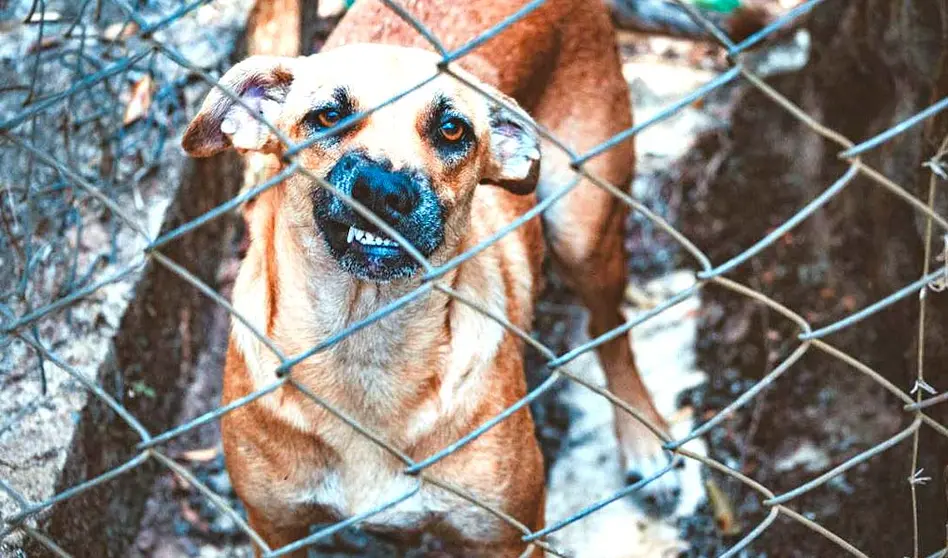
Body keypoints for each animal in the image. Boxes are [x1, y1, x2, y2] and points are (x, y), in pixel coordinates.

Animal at [181, 0, 676, 556]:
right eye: (329, 116)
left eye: (453, 130)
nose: (383, 189)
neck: (365, 345)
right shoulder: (275, 527)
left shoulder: (509, 536)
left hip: (583, 229)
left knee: (611, 329)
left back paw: (643, 437)